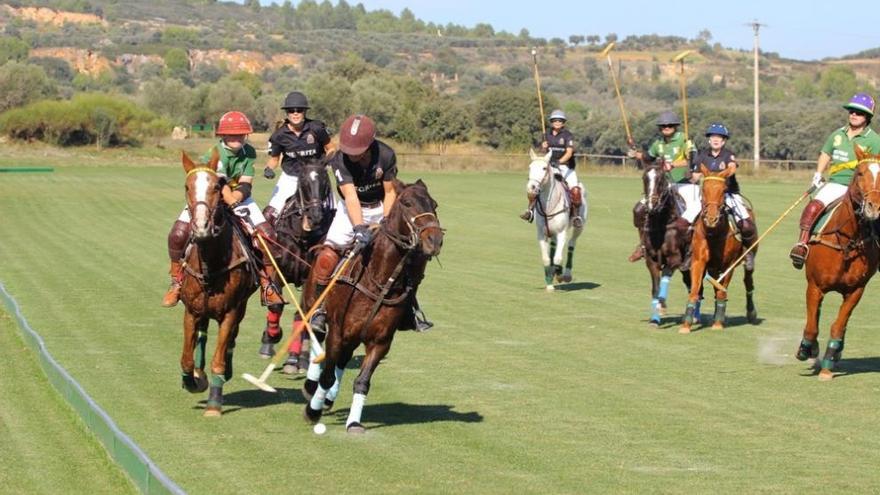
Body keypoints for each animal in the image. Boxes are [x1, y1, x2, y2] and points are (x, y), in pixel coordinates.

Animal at [177, 152, 256, 418]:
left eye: (216, 187)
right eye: (187, 187)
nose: (201, 228)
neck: (210, 263)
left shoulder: (230, 311)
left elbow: (219, 358)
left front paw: (214, 402)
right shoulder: (191, 311)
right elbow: (187, 359)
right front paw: (192, 380)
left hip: (240, 306)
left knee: (231, 339)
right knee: (202, 334)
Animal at [302, 179, 444, 434]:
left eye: (434, 204)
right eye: (407, 203)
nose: (435, 240)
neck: (379, 278)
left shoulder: (381, 341)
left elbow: (362, 381)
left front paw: (354, 422)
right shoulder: (337, 331)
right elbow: (327, 375)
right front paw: (312, 411)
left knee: (342, 361)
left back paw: (328, 398)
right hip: (315, 309)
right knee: (317, 340)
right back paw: (310, 388)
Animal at [524, 148, 588, 290]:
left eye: (544, 168)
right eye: (530, 167)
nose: (531, 188)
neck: (549, 206)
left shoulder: (562, 232)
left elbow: (558, 258)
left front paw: (559, 274)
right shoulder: (541, 233)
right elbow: (547, 258)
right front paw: (549, 282)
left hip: (579, 227)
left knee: (571, 244)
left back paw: (566, 274)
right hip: (551, 231)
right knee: (553, 246)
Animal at [680, 166, 756, 334]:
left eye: (723, 190)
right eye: (704, 189)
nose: (711, 219)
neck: (714, 232)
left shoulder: (729, 264)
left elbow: (722, 291)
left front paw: (718, 323)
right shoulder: (698, 261)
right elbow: (694, 290)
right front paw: (686, 325)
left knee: (748, 281)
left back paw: (751, 313)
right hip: (713, 267)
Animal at [796, 155, 880, 380]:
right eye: (860, 173)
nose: (873, 207)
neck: (847, 241)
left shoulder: (855, 291)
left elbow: (838, 326)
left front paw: (828, 362)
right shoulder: (815, 286)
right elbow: (812, 327)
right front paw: (806, 349)